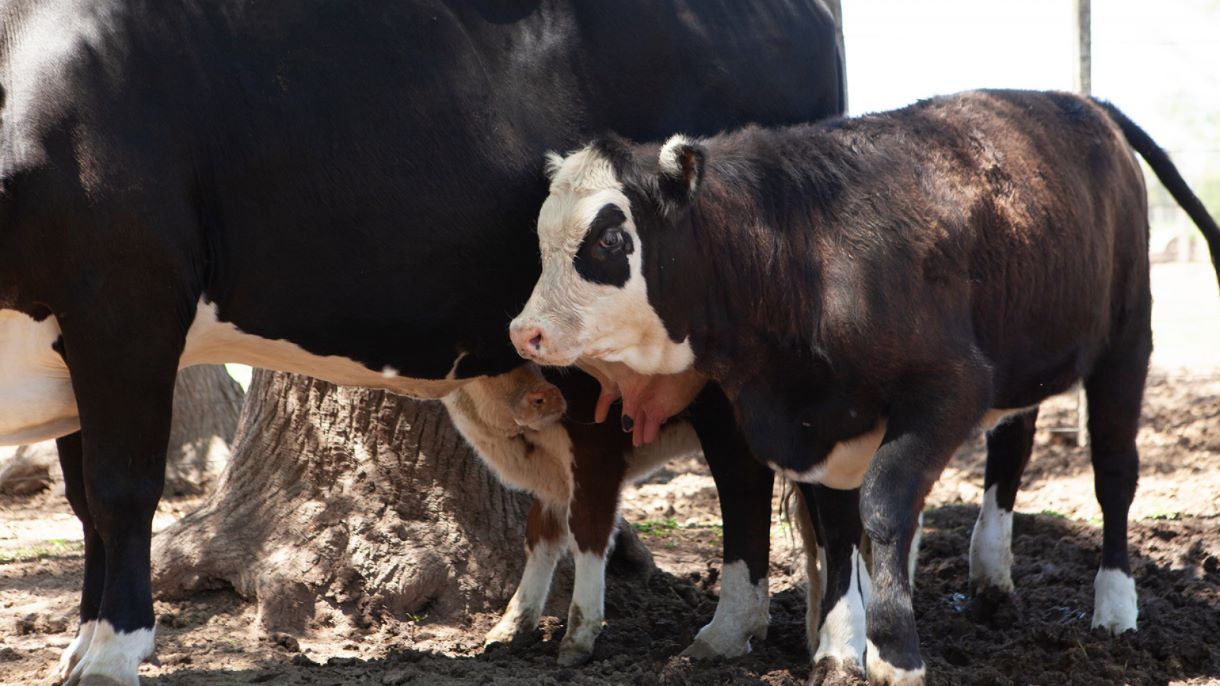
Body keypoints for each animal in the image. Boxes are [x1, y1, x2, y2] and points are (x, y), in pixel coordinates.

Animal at [444, 366, 775, 664]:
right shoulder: (553, 475)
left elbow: (588, 529)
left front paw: (579, 636)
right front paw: (514, 624)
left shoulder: (596, 447)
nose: (543, 397)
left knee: (746, 491)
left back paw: (723, 636)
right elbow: (540, 535)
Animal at [512, 90, 1220, 683]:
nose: (524, 331)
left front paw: (894, 652)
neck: (805, 253)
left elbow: (880, 506)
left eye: (610, 236)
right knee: (1014, 447)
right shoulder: (821, 425)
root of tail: (1081, 102)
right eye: (541, 239)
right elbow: (837, 527)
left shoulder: (950, 387)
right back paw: (990, 578)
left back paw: (1115, 608)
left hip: (1126, 342)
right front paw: (838, 646)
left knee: (1114, 472)